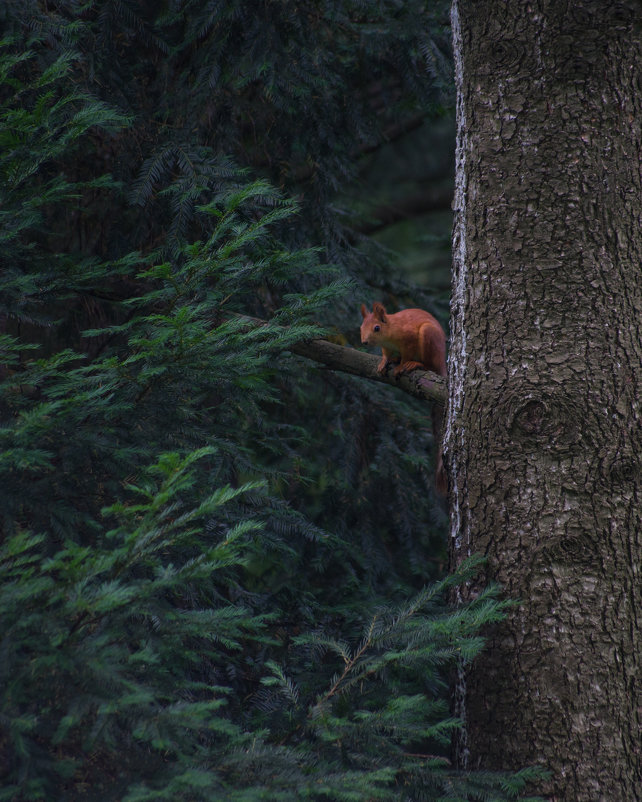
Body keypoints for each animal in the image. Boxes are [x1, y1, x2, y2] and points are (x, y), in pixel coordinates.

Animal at [358, 302, 448, 494]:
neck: (391, 330)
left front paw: (402, 365)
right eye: (361, 327)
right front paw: (384, 362)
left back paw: (414, 364)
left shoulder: (409, 340)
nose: (364, 342)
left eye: (376, 328)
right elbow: (386, 354)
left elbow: (407, 354)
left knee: (429, 365)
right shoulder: (387, 347)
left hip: (429, 338)